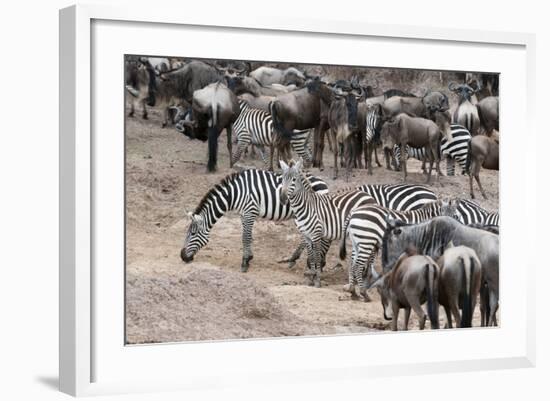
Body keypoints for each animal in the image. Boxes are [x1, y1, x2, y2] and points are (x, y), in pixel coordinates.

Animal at [181, 167, 328, 270]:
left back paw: (310, 261)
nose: (182, 257)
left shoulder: (250, 211)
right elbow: (248, 235)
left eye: (192, 234)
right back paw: (294, 259)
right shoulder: (244, 213)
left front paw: (245, 262)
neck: (235, 193)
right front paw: (249, 257)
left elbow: (245, 237)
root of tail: (323, 182)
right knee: (305, 238)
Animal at [280, 159, 380, 288]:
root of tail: (369, 197)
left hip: (366, 230)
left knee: (371, 254)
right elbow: (311, 256)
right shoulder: (306, 235)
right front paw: (311, 279)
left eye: (294, 179)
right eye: (282, 179)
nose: (282, 198)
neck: (306, 206)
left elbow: (317, 256)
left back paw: (366, 277)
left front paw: (317, 280)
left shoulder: (316, 234)